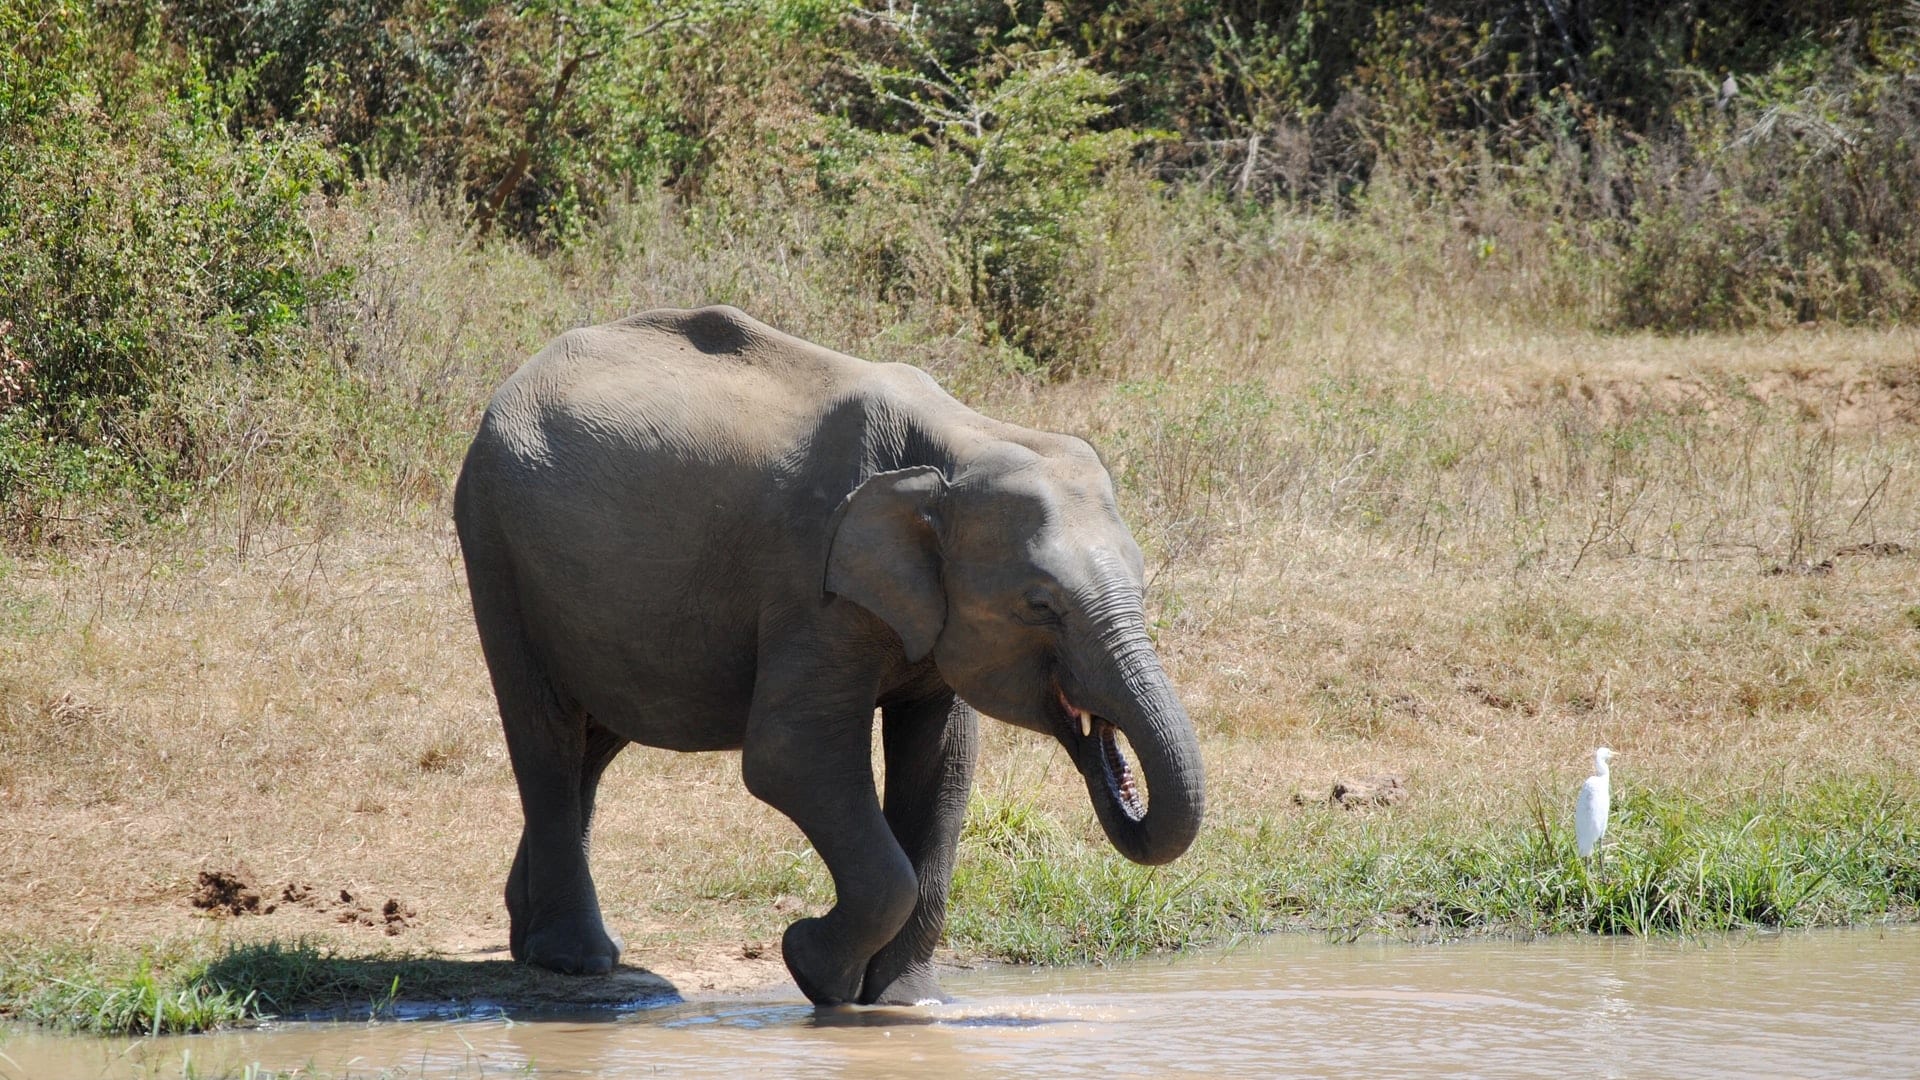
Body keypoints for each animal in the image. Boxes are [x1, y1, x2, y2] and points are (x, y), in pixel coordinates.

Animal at [449, 303, 1198, 999]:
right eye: (1042, 606)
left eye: (1139, 586)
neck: (960, 445)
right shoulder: (811, 582)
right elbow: (792, 757)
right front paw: (812, 964)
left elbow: (944, 764)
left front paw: (905, 1003)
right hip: (495, 542)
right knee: (546, 735)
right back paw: (575, 958)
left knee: (596, 740)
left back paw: (536, 936)